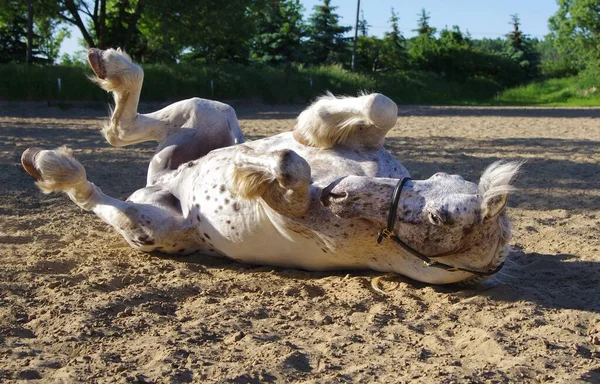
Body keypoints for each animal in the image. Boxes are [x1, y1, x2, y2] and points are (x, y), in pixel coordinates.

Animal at [21, 48, 520, 284]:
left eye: (439, 221)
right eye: (438, 201)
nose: (338, 192)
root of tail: (164, 183)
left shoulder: (298, 217)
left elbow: (292, 175)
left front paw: (258, 172)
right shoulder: (369, 140)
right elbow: (381, 106)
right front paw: (311, 127)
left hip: (153, 228)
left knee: (92, 194)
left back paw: (52, 165)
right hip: (209, 111)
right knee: (123, 126)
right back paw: (111, 66)